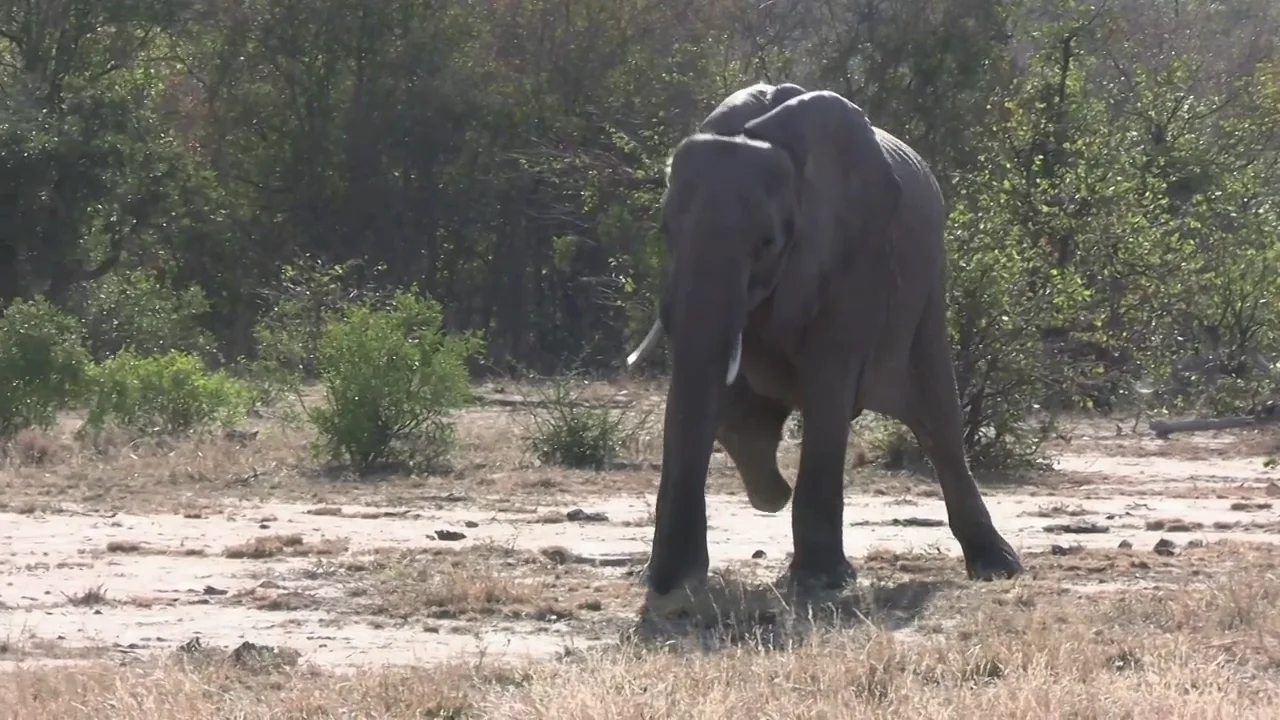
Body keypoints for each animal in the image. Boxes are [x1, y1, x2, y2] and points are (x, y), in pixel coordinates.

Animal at [625, 83, 1026, 600]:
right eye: (664, 231)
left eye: (768, 243)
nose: (666, 583)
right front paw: (673, 583)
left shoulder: (857, 247)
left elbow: (830, 378)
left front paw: (820, 580)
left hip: (926, 293)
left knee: (939, 421)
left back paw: (997, 567)